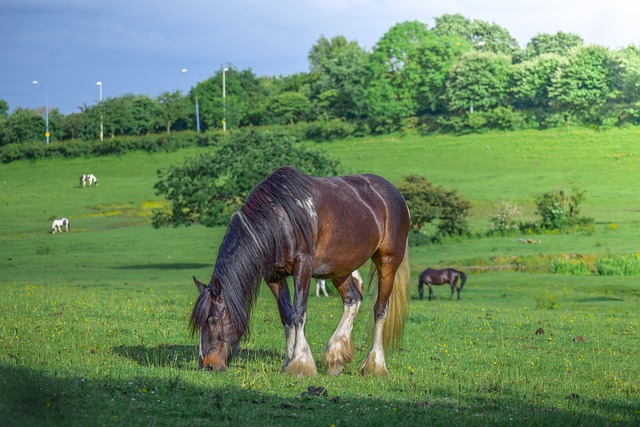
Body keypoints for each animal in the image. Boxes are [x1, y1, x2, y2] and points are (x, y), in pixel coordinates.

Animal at [190, 167, 410, 378]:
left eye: (212, 320)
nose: (207, 365)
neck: (279, 220)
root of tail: (395, 195)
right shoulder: (274, 276)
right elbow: (286, 315)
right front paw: (288, 361)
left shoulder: (303, 267)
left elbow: (298, 312)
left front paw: (300, 363)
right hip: (340, 269)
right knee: (353, 299)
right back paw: (335, 358)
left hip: (387, 262)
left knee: (379, 310)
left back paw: (375, 365)